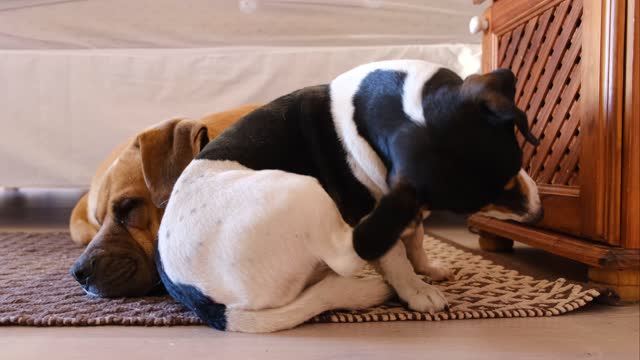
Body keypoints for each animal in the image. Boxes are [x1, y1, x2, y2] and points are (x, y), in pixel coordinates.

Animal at [155, 59, 540, 332]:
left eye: (516, 163)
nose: (537, 215)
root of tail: (202, 302)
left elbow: (415, 240)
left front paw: (428, 267)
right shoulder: (388, 206)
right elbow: (395, 255)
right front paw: (416, 289)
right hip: (301, 188)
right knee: (347, 256)